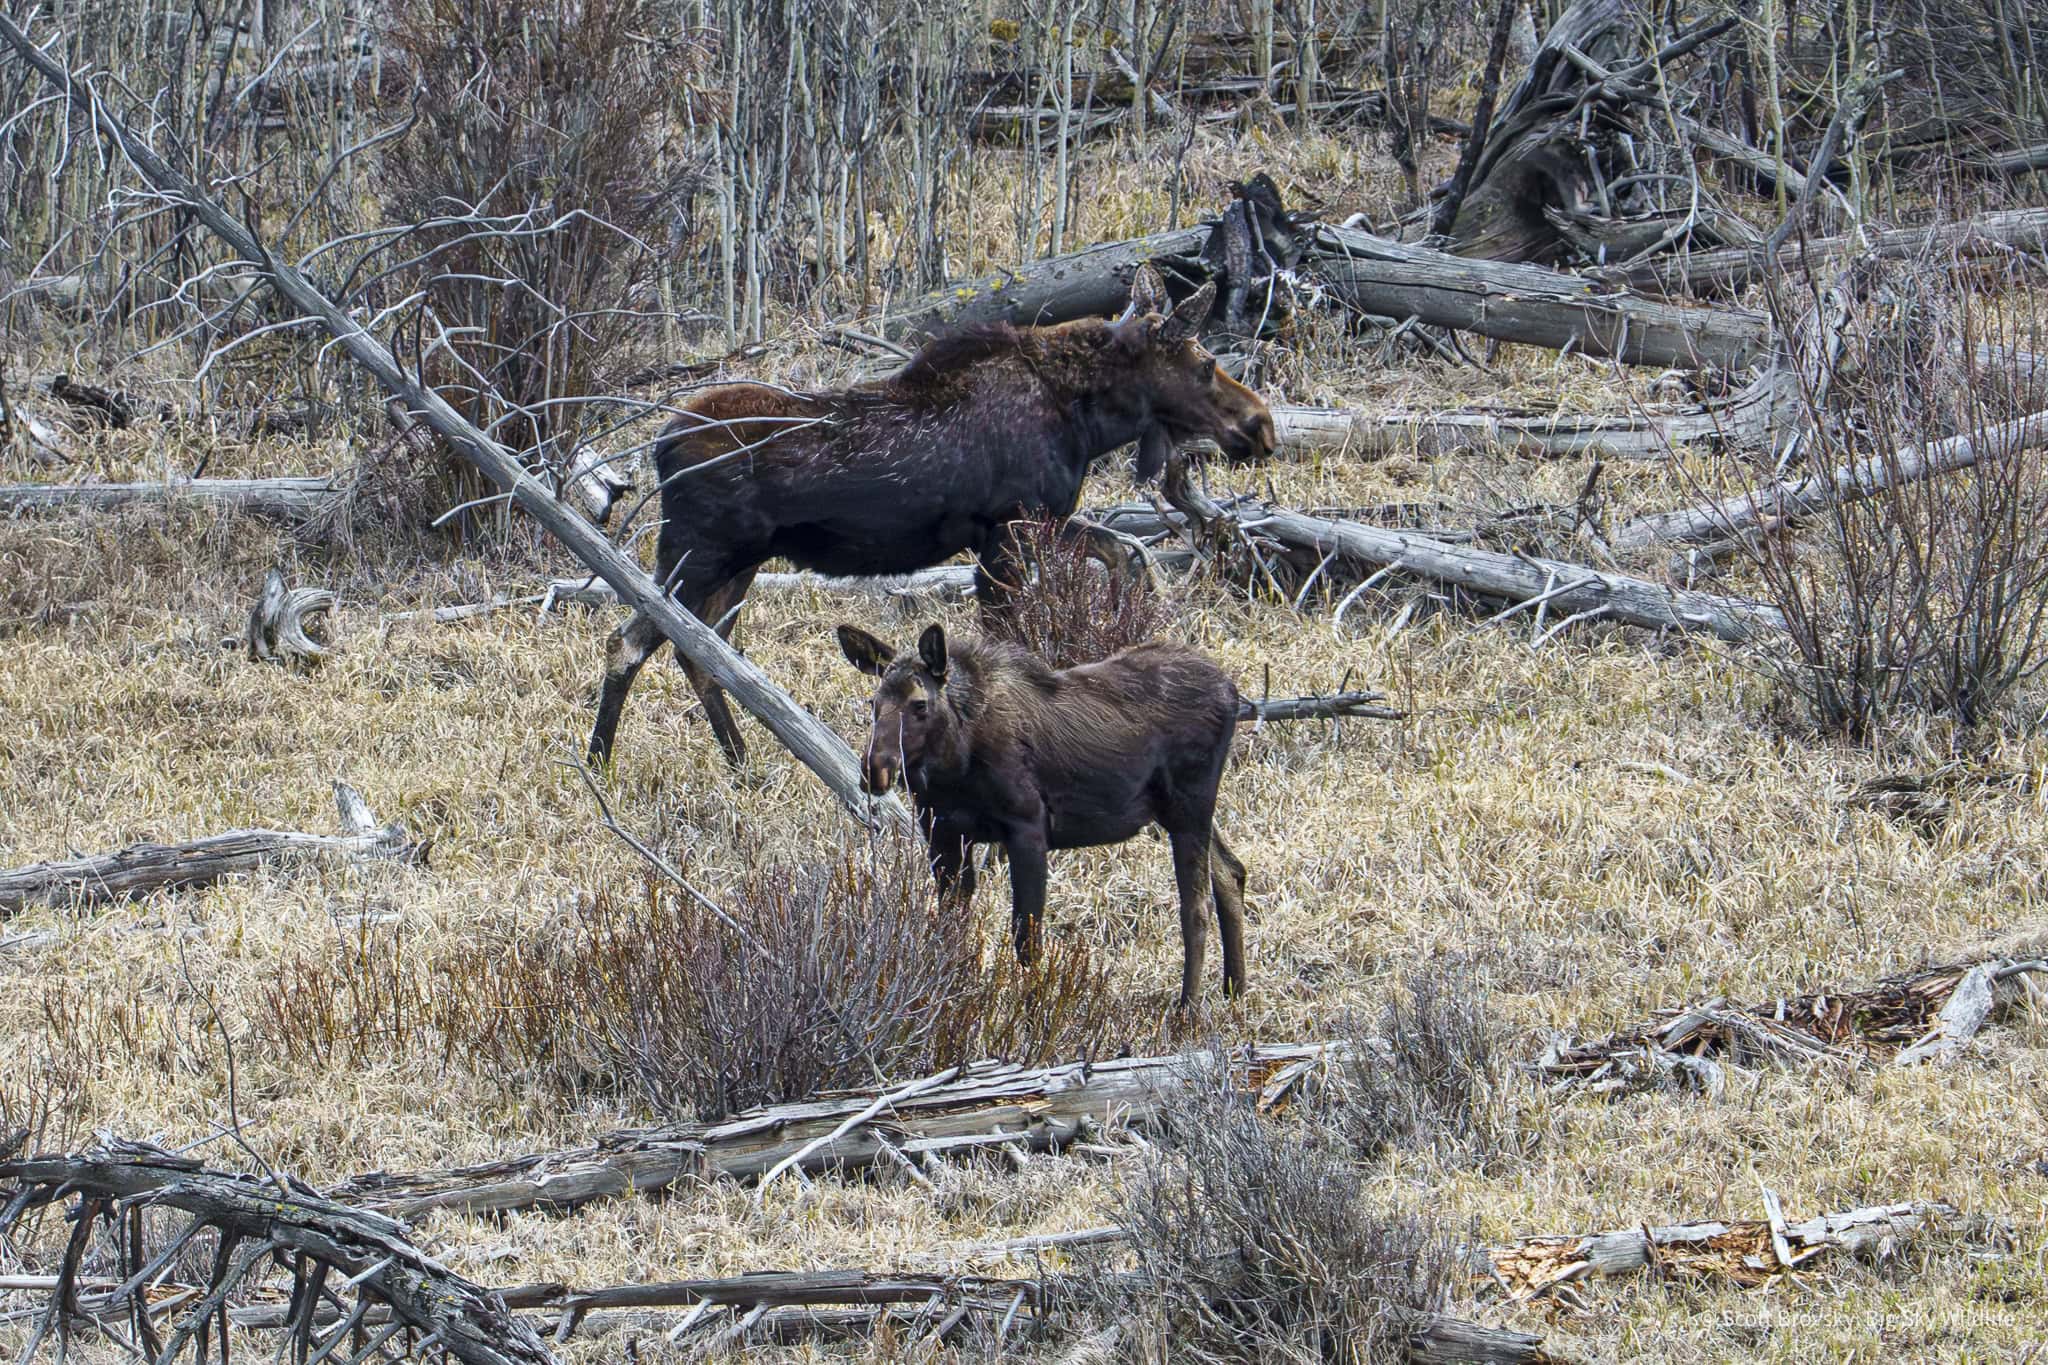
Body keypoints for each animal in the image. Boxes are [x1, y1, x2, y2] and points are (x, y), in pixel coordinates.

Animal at [588, 266, 1275, 767]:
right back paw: (601, 763)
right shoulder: (1007, 534)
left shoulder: (1035, 520)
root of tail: (659, 447)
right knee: (629, 642)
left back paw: (741, 765)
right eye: (1206, 364)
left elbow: (1122, 551)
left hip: (736, 564)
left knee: (700, 650)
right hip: (698, 554)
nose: (1262, 425)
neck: (1086, 420)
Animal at [837, 621, 1248, 1007]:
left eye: (920, 704)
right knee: (1230, 872)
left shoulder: (1028, 828)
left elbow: (1026, 940)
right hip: (1178, 811)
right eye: (874, 703)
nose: (875, 769)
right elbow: (951, 926)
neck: (956, 764)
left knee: (1196, 906)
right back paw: (1235, 989)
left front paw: (1032, 1011)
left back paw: (1188, 1008)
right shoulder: (944, 834)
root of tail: (1234, 692)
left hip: (1189, 806)